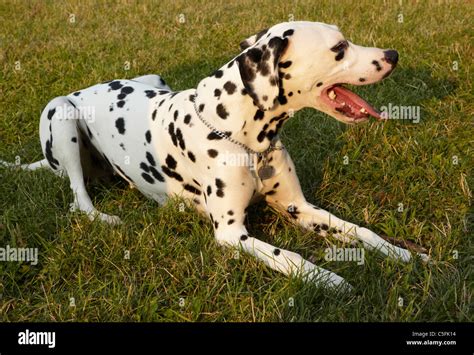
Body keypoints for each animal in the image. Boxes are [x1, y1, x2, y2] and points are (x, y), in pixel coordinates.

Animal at [0, 20, 430, 290]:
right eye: (339, 49)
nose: (393, 54)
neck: (247, 140)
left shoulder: (300, 208)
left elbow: (361, 231)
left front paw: (404, 253)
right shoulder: (231, 234)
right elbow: (289, 257)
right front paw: (328, 279)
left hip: (152, 79)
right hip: (62, 115)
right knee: (79, 199)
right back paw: (103, 216)